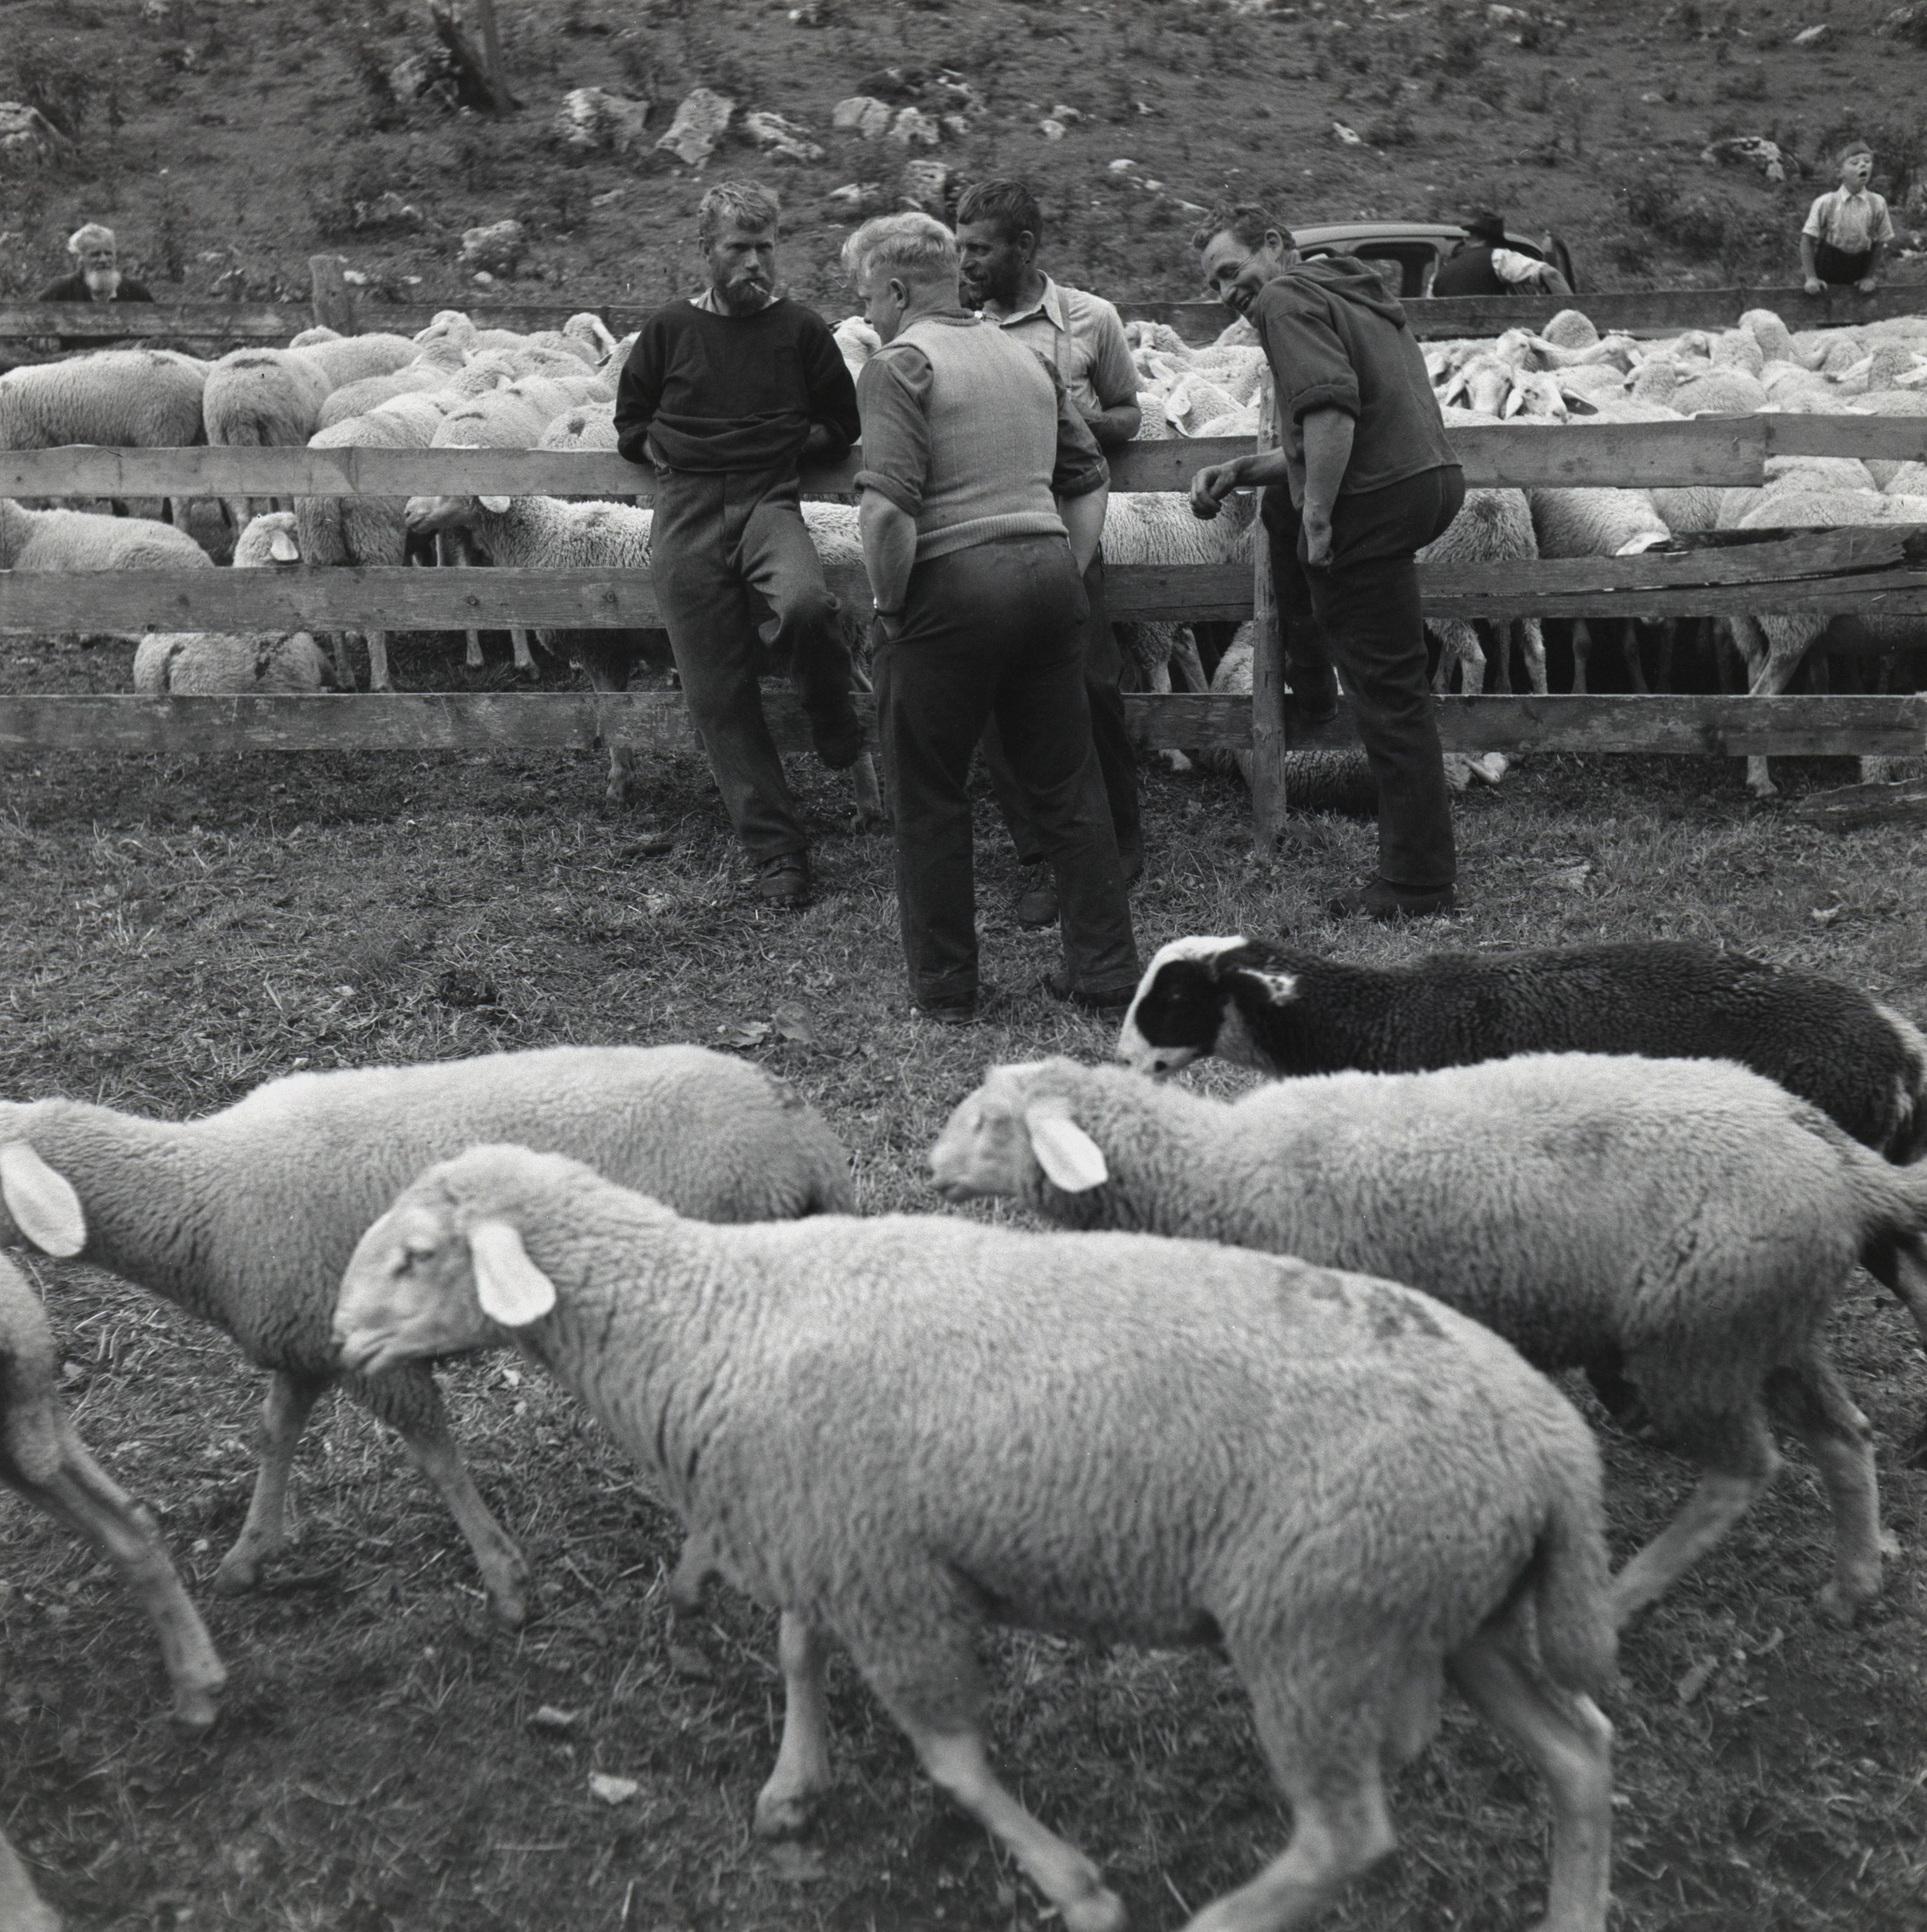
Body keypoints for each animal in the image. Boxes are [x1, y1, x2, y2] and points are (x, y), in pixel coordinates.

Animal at [0, 1044, 852, 1629]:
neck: (201, 1197)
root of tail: (802, 1131)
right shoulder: (307, 1337)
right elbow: (275, 1432)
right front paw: (250, 1554)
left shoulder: (372, 1355)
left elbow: (434, 1454)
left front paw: (505, 1581)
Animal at [334, 1141, 1617, 1932]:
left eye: (416, 1256)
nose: (342, 1343)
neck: (712, 1315)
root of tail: (1552, 1450)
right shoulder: (830, 1535)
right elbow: (796, 1654)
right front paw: (791, 1786)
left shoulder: (894, 1583)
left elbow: (949, 1759)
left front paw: (1075, 1886)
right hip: (1449, 1612)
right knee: (1580, 1754)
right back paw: (1573, 1908)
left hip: (1319, 1625)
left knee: (1348, 1835)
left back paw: (1222, 1918)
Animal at [928, 1051, 1927, 1628]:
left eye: (989, 1120)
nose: (931, 1171)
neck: (1216, 1171)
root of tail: (1838, 1156)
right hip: (1765, 1321)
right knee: (1844, 1437)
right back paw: (1853, 1581)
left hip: (1697, 1338)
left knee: (1741, 1472)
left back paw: (1620, 1596)